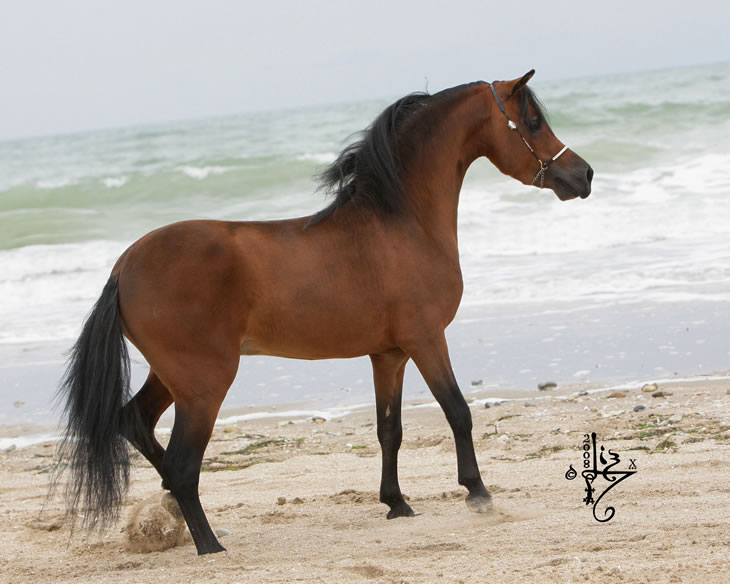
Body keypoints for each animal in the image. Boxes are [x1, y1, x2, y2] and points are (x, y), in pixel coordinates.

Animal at [55, 68, 592, 552]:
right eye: (534, 122)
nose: (583, 175)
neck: (401, 222)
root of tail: (123, 267)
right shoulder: (426, 340)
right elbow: (458, 412)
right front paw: (479, 495)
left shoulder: (389, 355)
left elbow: (390, 430)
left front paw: (396, 503)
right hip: (204, 384)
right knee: (183, 467)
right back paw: (209, 544)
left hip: (172, 377)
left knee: (136, 425)